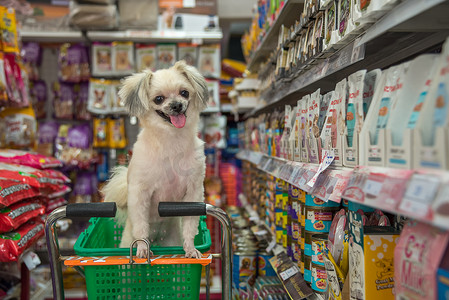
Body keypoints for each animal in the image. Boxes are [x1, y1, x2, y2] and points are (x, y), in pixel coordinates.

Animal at [101, 60, 208, 258]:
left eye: (184, 93)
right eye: (159, 99)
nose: (176, 105)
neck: (172, 141)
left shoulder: (193, 194)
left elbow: (190, 226)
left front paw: (190, 248)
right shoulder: (139, 194)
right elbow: (141, 224)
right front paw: (142, 249)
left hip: (172, 238)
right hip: (126, 240)